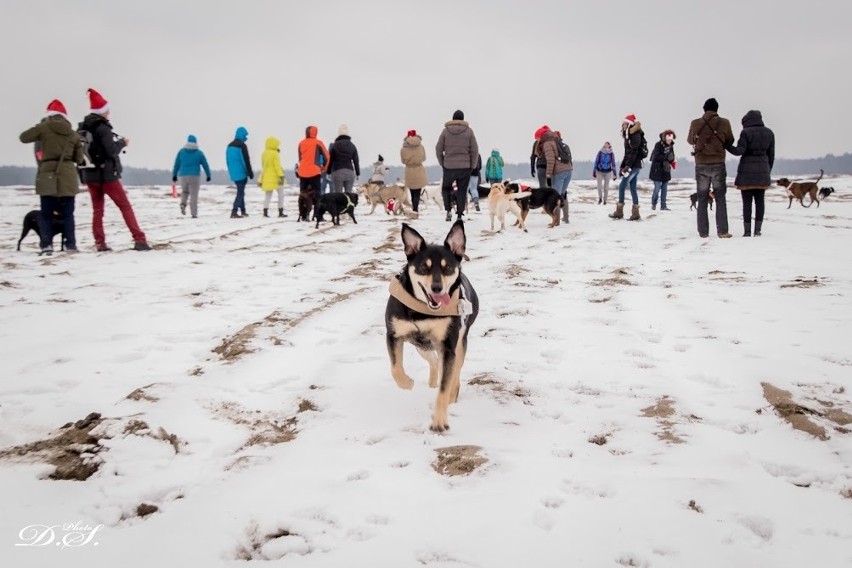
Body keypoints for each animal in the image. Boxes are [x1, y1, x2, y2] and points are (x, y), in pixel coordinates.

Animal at [386, 221, 480, 430]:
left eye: (448, 268)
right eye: (423, 267)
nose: (437, 288)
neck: (424, 311)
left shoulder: (448, 347)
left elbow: (445, 386)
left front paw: (439, 420)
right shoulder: (393, 334)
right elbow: (395, 368)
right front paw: (407, 383)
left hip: (459, 343)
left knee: (454, 373)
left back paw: (452, 394)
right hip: (421, 346)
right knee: (435, 362)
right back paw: (431, 381)